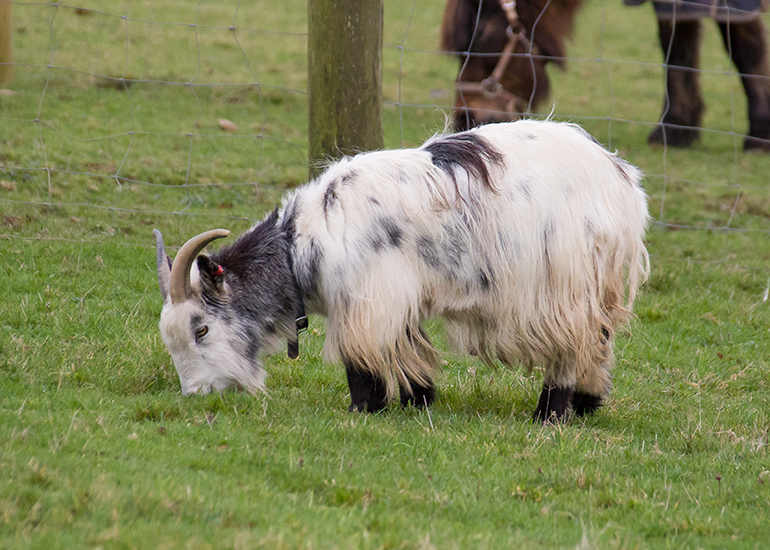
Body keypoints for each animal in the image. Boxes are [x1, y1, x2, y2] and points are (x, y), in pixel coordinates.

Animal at [154, 120, 649, 422]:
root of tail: (620, 178)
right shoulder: (398, 298)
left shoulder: (369, 298)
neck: (303, 244)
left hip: (565, 286)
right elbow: (410, 351)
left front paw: (363, 409)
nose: (196, 395)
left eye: (200, 328)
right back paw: (587, 403)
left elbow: (361, 360)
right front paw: (419, 399)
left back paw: (549, 412)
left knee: (575, 343)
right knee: (600, 340)